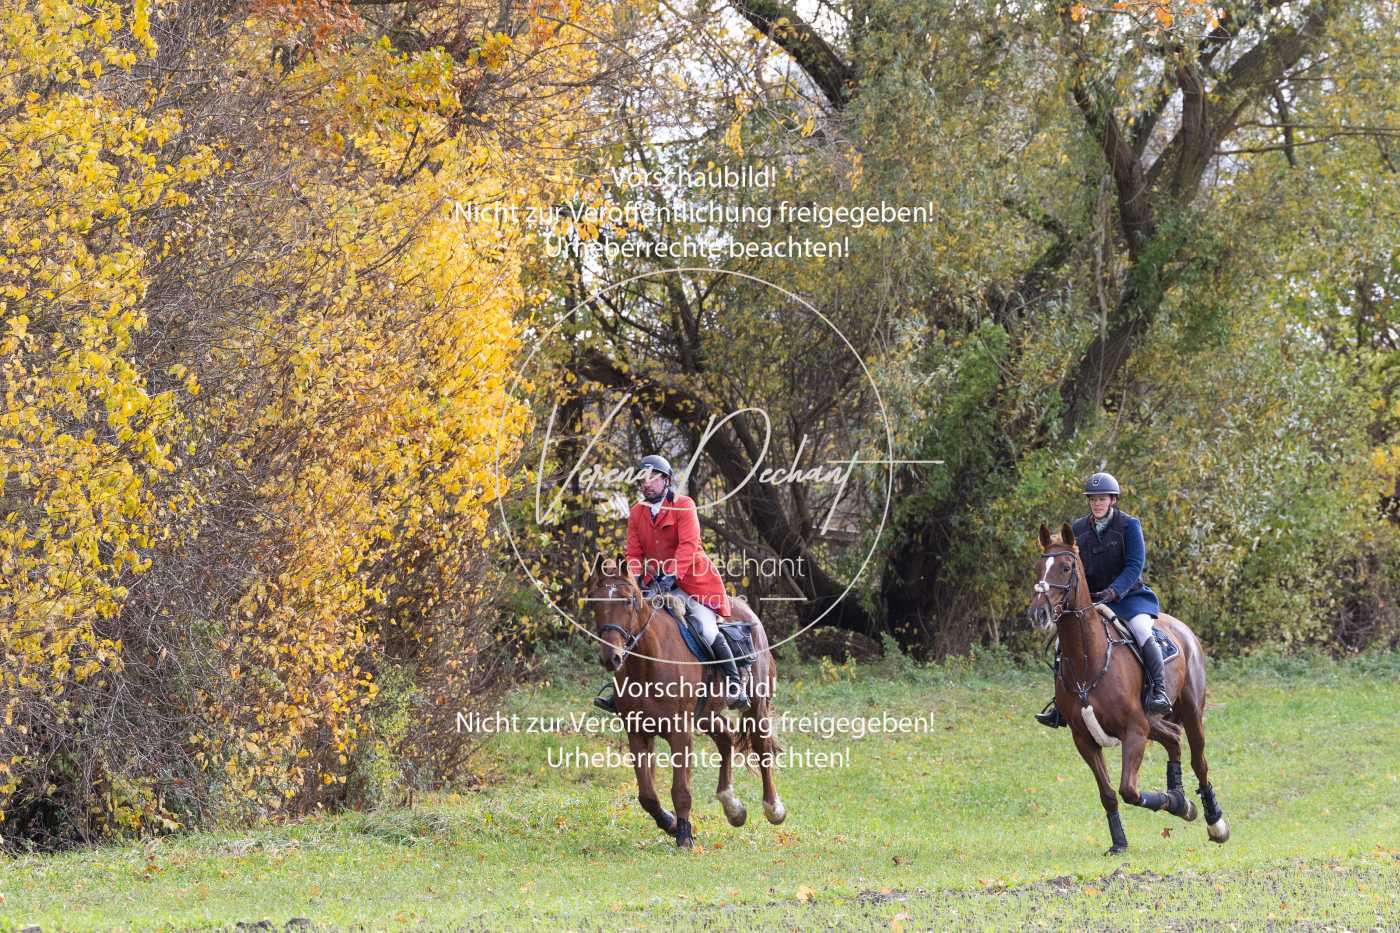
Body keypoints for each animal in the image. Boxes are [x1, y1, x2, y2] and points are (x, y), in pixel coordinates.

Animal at [586, 565, 785, 848]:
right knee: (725, 738)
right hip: (706, 713)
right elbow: (647, 795)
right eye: (595, 603)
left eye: (629, 601)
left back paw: (773, 808)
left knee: (761, 746)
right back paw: (732, 807)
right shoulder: (637, 732)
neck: (647, 664)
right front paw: (670, 824)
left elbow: (681, 790)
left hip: (756, 705)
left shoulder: (680, 733)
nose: (610, 657)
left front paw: (684, 835)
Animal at [1027, 522, 1230, 854]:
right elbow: (1109, 793)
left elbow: (1129, 790)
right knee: (1173, 740)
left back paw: (1214, 822)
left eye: (1066, 567)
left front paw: (1173, 803)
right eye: (1038, 568)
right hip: (1154, 723)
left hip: (1189, 713)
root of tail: (1183, 630)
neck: (1089, 659)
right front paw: (1120, 841)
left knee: (1199, 761)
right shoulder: (1084, 739)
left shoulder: (1134, 731)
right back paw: (1180, 798)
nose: (1038, 614)